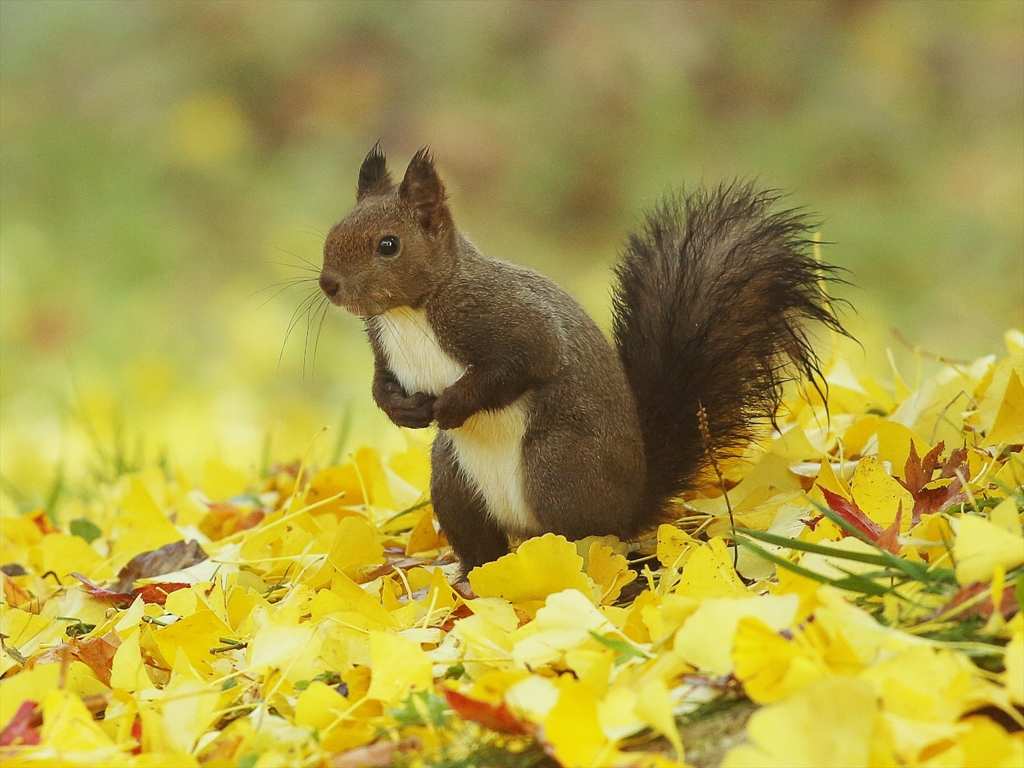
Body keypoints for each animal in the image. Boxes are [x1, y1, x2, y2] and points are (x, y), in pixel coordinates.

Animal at [319, 144, 847, 577]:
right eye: (332, 232)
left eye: (388, 245)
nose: (328, 285)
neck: (409, 312)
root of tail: (630, 506)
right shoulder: (384, 346)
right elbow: (382, 382)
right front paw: (400, 408)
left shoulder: (510, 320)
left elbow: (524, 362)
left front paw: (452, 404)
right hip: (454, 484)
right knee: (480, 542)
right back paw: (471, 575)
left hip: (556, 467)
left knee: (587, 537)